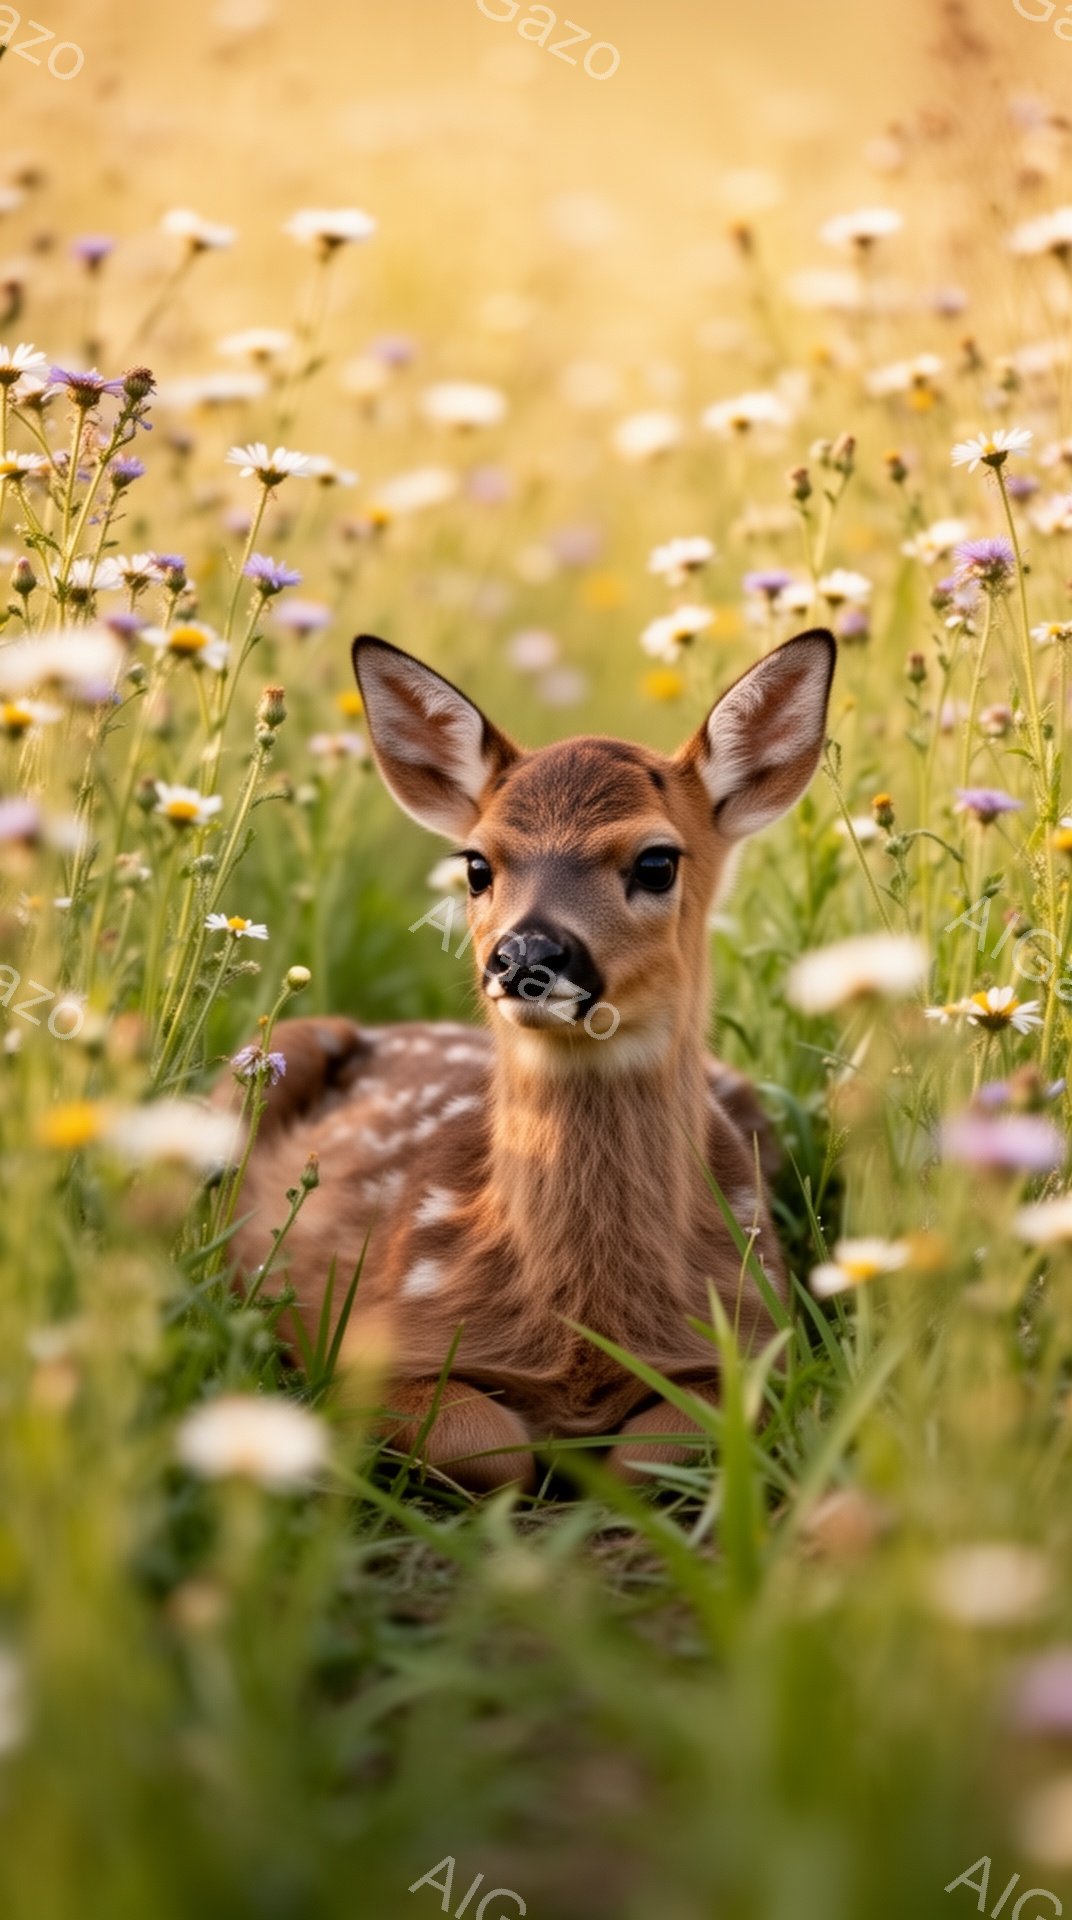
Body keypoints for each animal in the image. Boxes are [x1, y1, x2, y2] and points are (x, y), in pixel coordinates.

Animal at [223, 627, 836, 1492]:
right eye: (477, 864)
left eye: (657, 862)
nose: (524, 957)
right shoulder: (368, 1347)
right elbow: (495, 1447)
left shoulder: (762, 1342)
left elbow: (646, 1457)